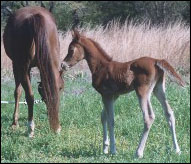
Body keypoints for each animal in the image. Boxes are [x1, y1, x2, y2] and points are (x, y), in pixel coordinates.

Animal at [2, 6, 64, 137]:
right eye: (61, 88)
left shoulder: (16, 66)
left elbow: (18, 92)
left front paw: (15, 122)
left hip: (21, 67)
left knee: (29, 95)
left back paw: (30, 128)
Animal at [60, 29, 184, 158]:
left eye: (71, 50)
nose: (63, 64)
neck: (100, 67)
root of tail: (156, 61)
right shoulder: (114, 96)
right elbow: (103, 116)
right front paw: (105, 148)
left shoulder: (106, 95)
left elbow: (111, 120)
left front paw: (113, 150)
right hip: (158, 89)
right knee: (169, 113)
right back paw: (177, 149)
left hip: (142, 91)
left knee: (149, 117)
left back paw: (138, 152)